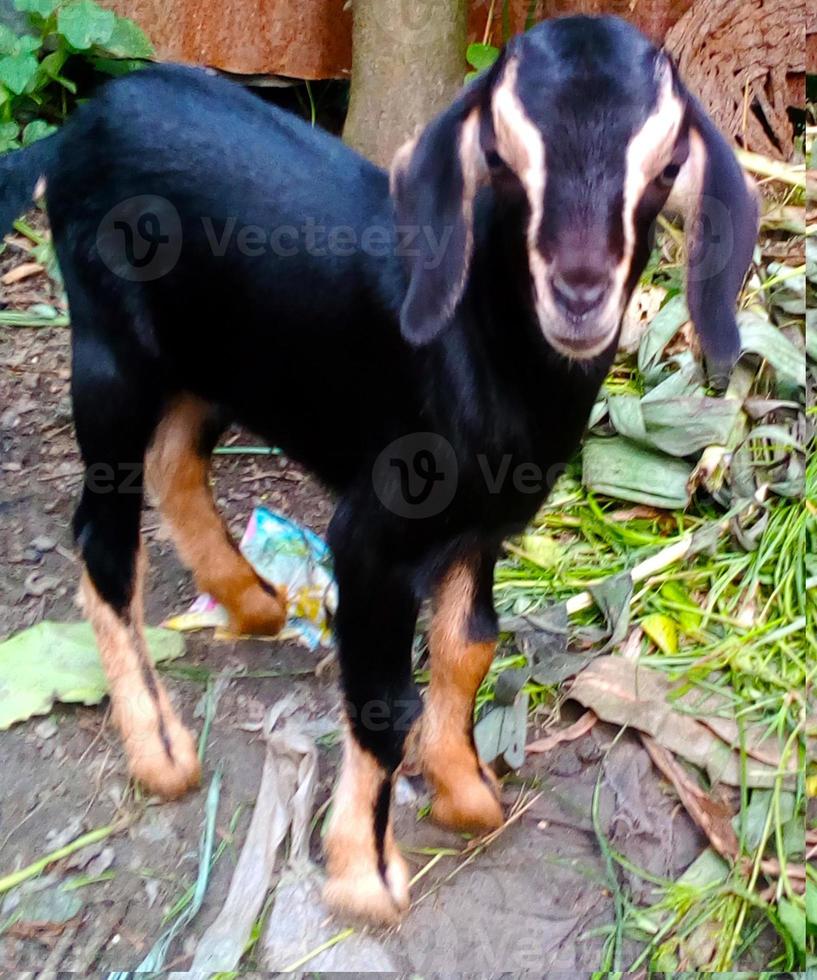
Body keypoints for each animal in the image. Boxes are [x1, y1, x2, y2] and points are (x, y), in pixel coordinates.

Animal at [0, 17, 756, 928]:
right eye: (500, 157)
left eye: (665, 166)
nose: (578, 294)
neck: (480, 347)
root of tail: (77, 126)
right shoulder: (371, 538)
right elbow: (384, 698)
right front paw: (363, 872)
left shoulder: (482, 527)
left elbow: (469, 646)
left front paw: (464, 791)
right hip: (110, 352)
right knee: (104, 538)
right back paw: (161, 747)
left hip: (217, 360)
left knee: (175, 456)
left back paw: (251, 597)